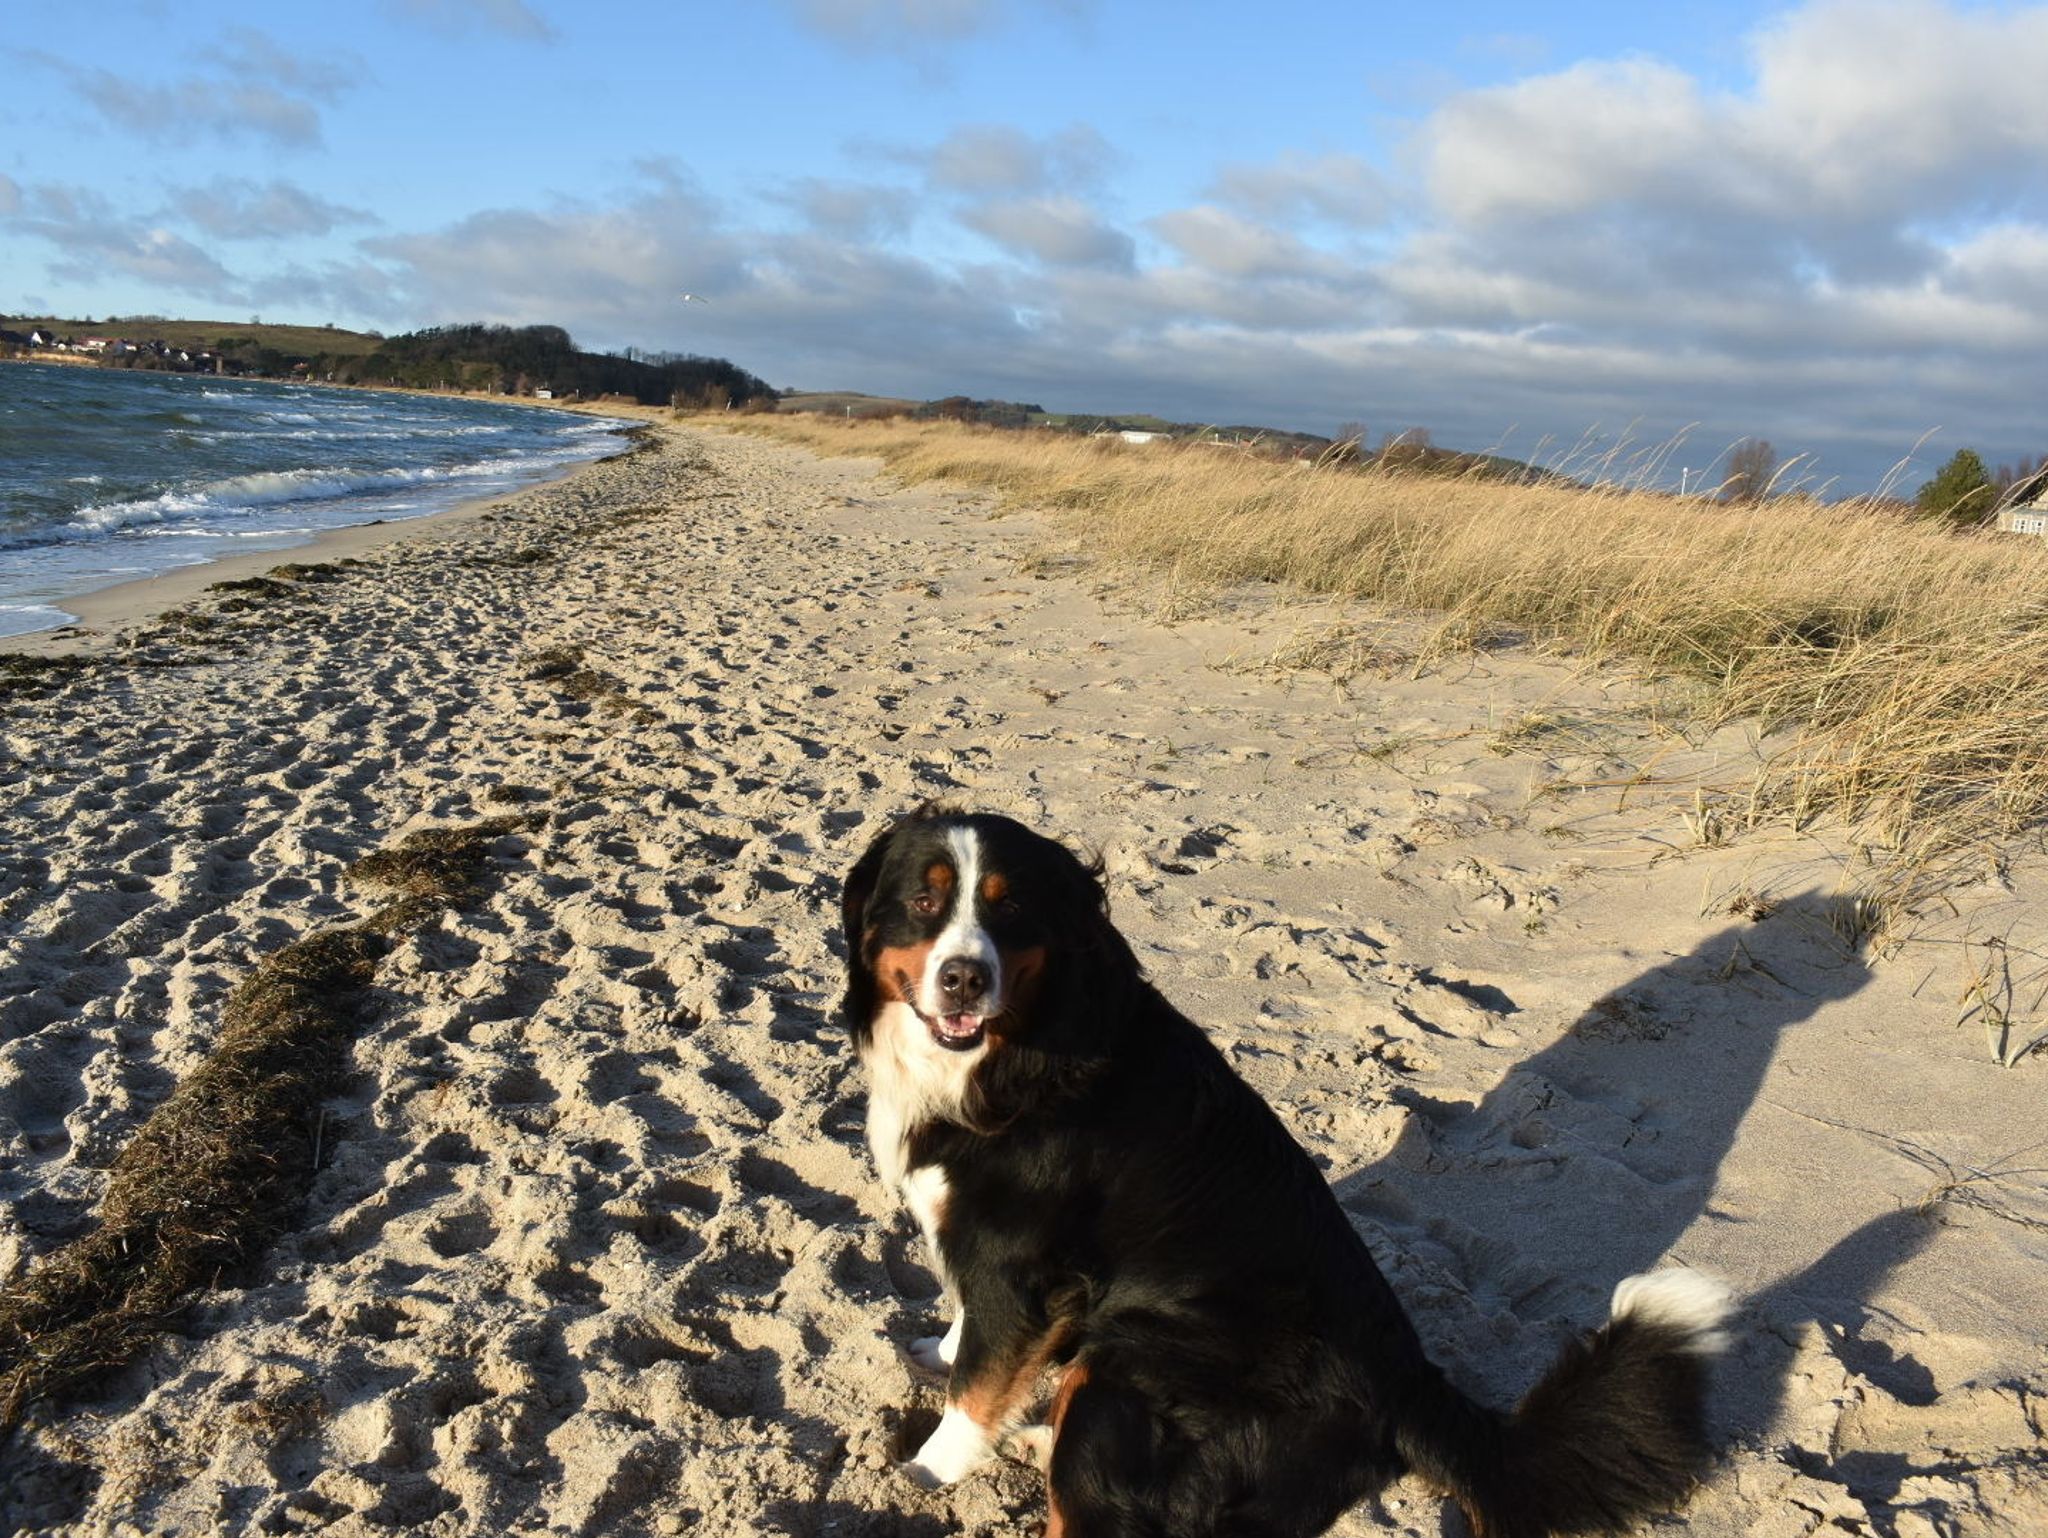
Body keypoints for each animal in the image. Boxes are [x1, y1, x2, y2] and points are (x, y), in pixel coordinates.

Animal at [839, 806, 1736, 1538]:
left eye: (1010, 907)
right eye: (925, 903)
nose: (964, 977)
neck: (1010, 1056)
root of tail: (1408, 1385)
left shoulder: (1019, 1258)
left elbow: (977, 1387)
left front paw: (926, 1471)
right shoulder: (987, 1251)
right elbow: (974, 1334)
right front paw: (940, 1351)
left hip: (1130, 1361)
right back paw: (1032, 1437)